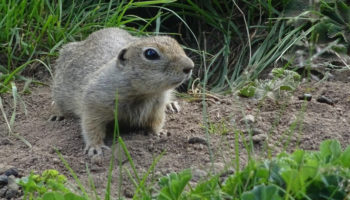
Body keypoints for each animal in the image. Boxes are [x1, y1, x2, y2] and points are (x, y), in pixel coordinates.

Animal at [51, 27, 194, 156]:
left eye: (176, 43)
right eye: (150, 53)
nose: (190, 66)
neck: (143, 93)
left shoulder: (157, 107)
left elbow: (156, 121)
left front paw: (160, 132)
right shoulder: (94, 103)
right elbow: (91, 126)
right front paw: (95, 147)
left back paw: (171, 105)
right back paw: (57, 114)